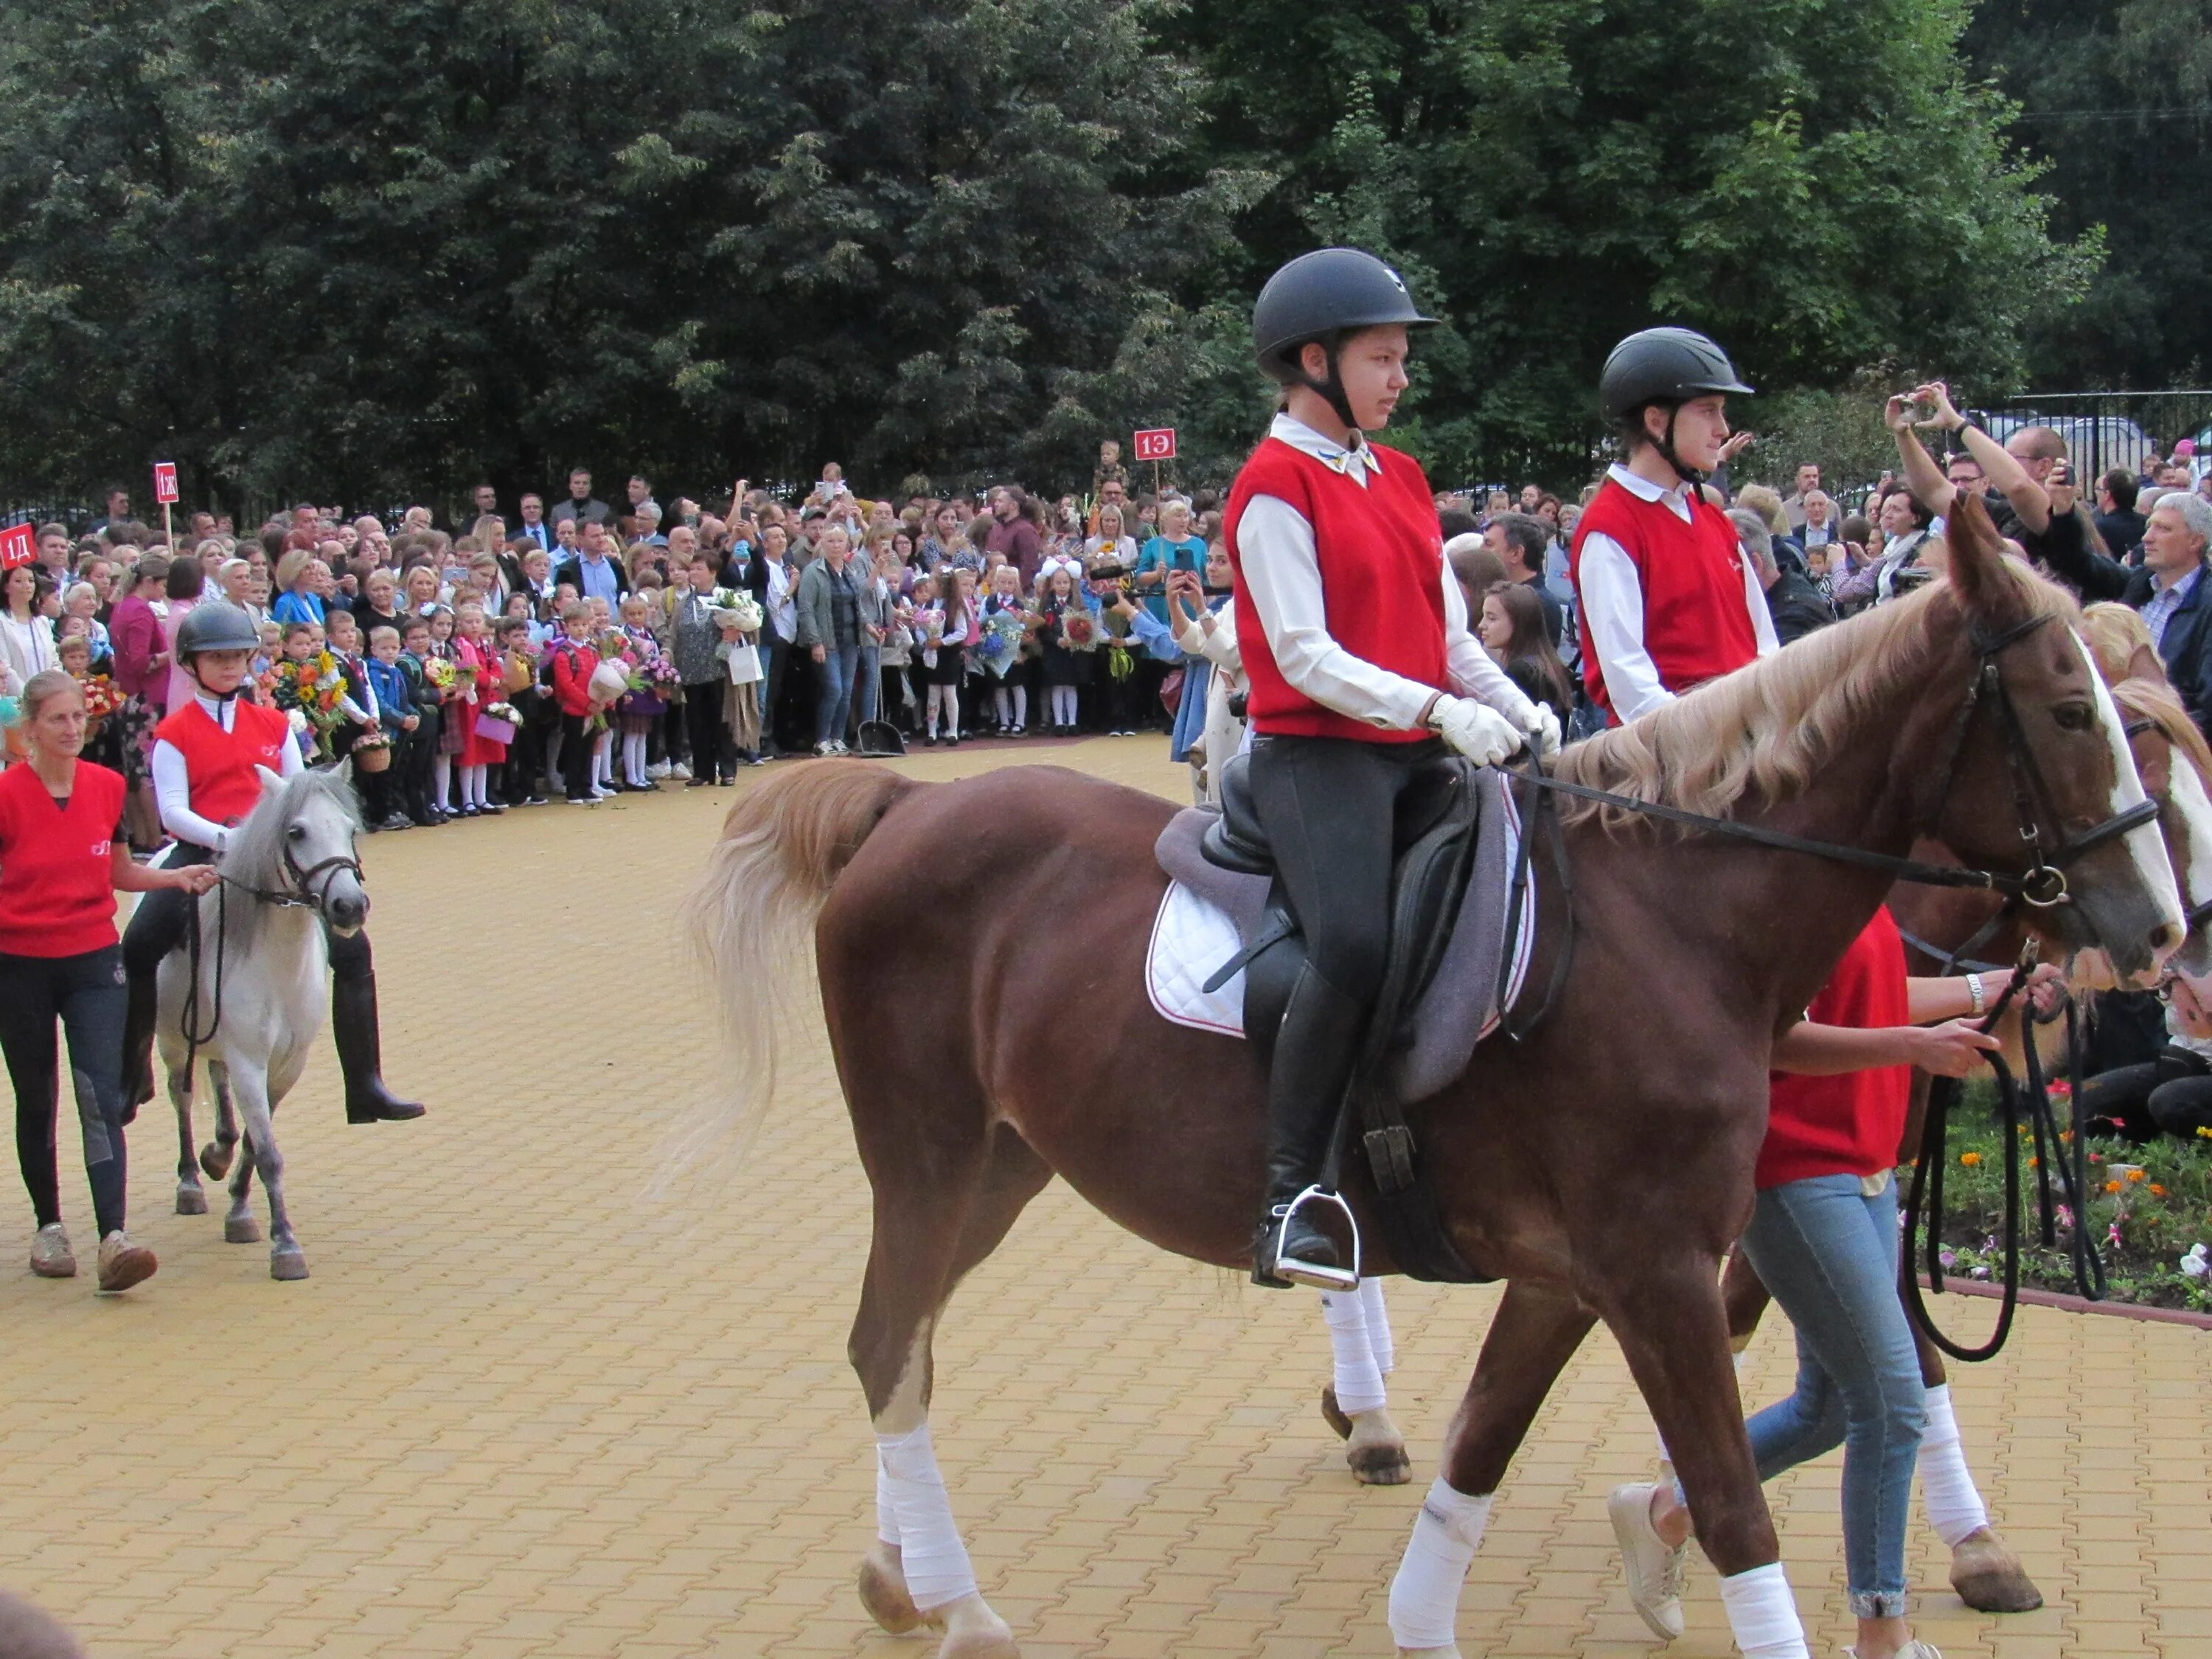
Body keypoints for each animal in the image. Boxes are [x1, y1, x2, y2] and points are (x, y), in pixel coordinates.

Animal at [161, 770, 367, 1283]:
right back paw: (190, 1183)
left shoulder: (285, 1066)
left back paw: (218, 1154)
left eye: (350, 829)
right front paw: (285, 1246)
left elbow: (258, 1143)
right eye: (296, 832)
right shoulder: (250, 1063)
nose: (350, 906)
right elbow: (270, 1155)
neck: (277, 965)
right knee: (182, 1096)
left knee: (217, 1087)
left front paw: (239, 1211)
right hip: (173, 1044)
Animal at [686, 498, 2177, 1659]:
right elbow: (1732, 1505)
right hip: (929, 1157)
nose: (2157, 930)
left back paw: (901, 1583)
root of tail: (908, 808)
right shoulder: (1654, 1271)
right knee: (889, 1340)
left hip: (1000, 1164)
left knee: (910, 1344)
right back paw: (962, 1604)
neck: (1666, 918)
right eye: (2066, 711)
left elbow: (1480, 1452)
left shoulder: (1574, 1276)